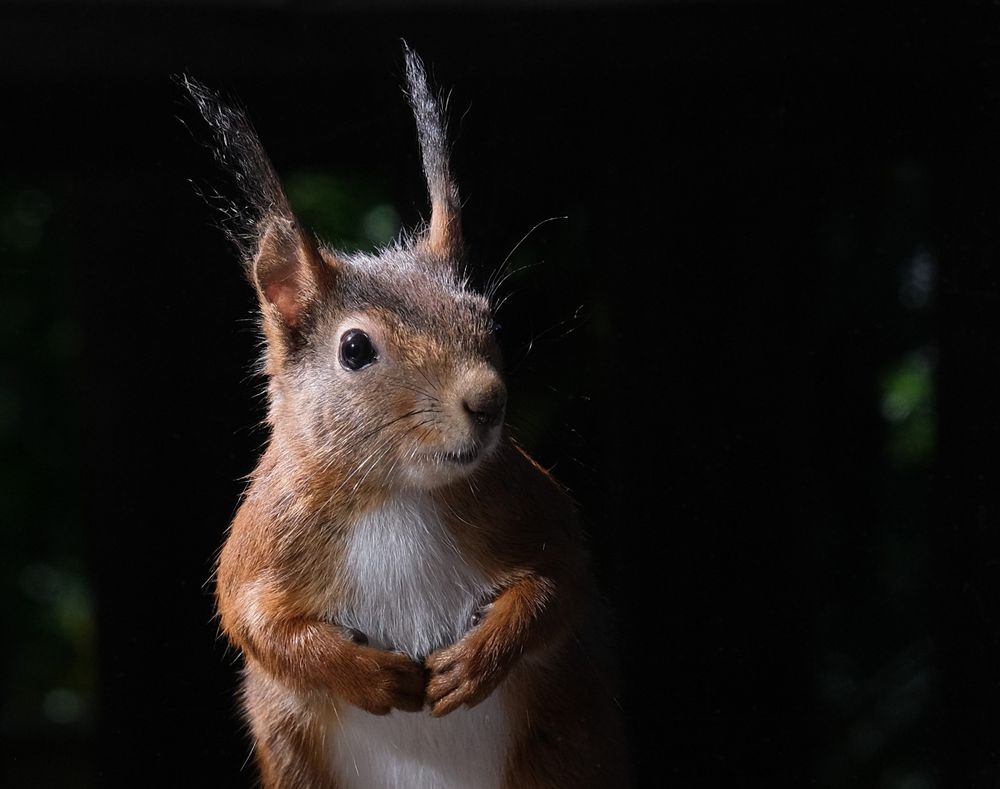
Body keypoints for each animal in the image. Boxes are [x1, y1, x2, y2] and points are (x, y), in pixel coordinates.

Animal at [184, 46, 628, 784]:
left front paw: (475, 662)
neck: (397, 495)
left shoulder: (531, 501)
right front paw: (367, 675)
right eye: (355, 348)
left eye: (486, 319)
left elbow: (561, 581)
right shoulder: (264, 535)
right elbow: (250, 617)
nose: (487, 401)